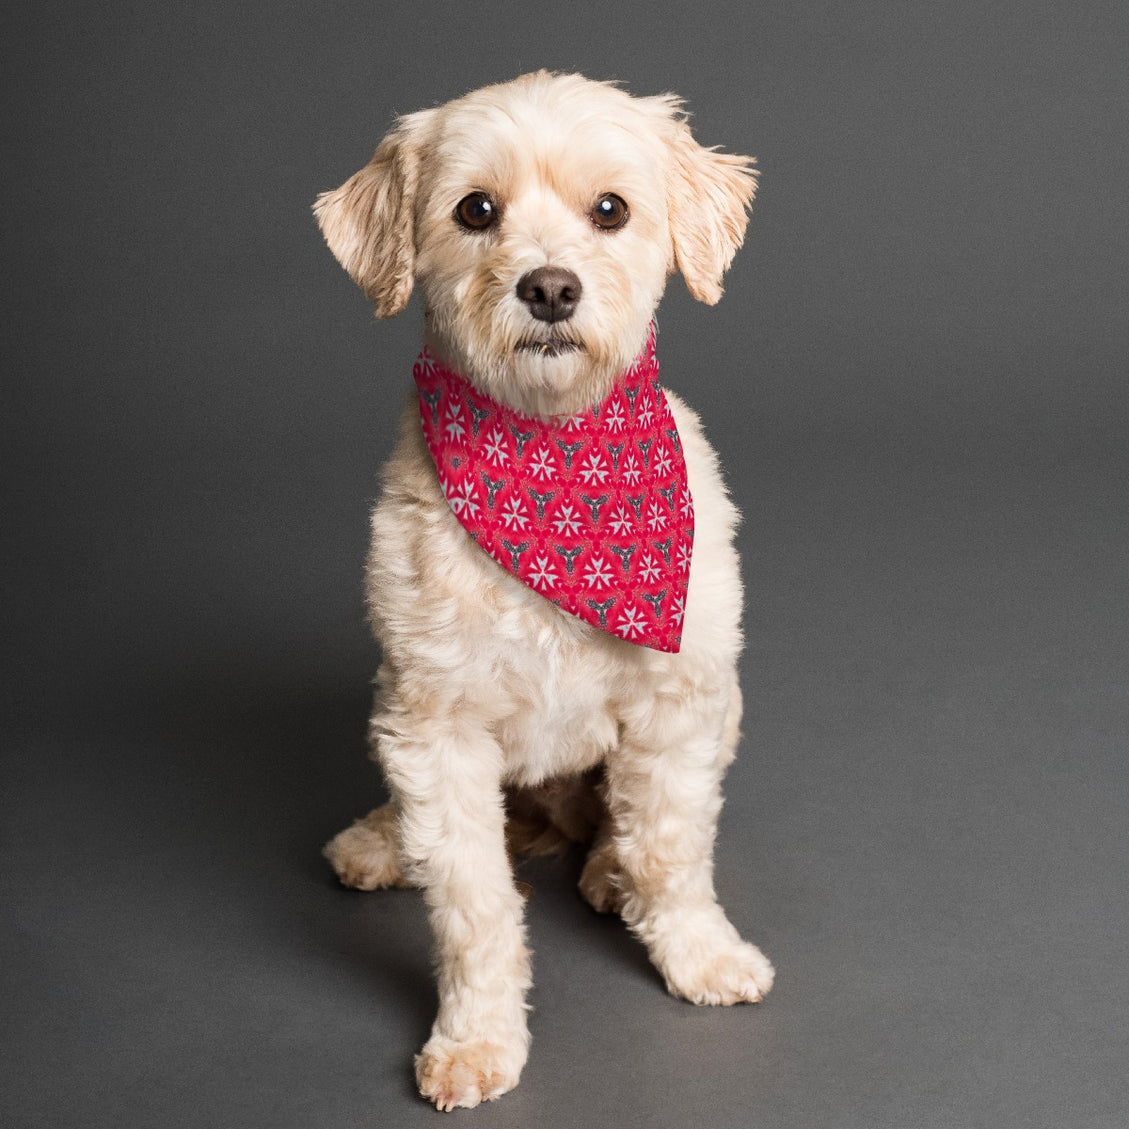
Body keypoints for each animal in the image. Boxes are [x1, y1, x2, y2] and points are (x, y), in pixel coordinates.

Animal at [313, 72, 772, 1110]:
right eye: (475, 210)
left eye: (610, 210)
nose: (551, 287)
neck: (554, 454)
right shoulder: (434, 725)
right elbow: (471, 904)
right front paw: (476, 1036)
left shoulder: (680, 702)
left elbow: (670, 846)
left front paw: (697, 951)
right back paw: (382, 841)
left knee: (618, 827)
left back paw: (605, 869)